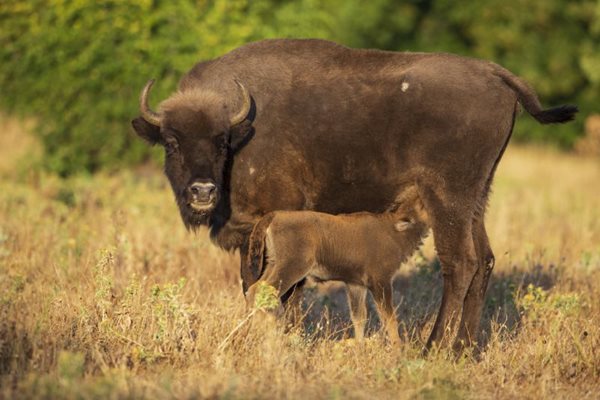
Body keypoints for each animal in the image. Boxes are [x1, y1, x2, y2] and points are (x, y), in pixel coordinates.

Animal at [241, 196, 428, 344]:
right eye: (421, 205)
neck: (393, 229)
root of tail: (275, 215)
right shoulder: (381, 282)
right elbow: (388, 316)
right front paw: (398, 349)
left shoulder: (355, 285)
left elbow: (359, 317)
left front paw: (360, 347)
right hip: (291, 268)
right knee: (262, 291)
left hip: (273, 265)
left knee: (254, 289)